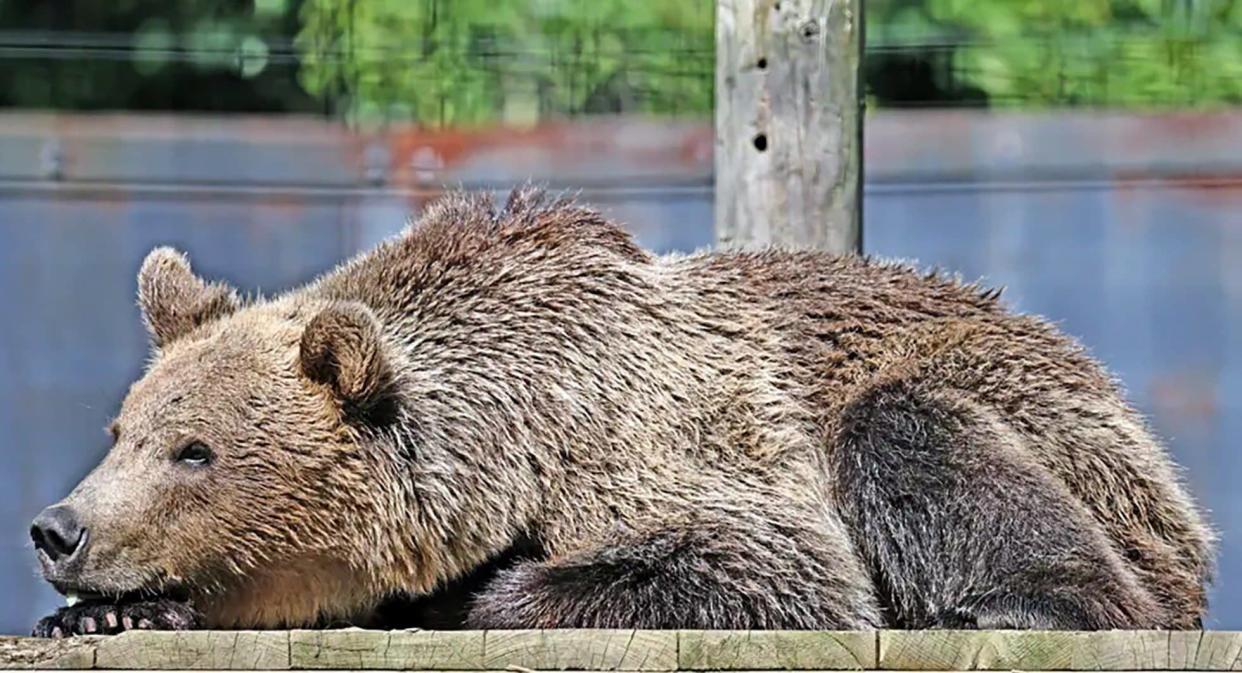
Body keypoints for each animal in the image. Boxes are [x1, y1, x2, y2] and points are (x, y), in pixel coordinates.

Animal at [29, 189, 1212, 640]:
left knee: (912, 425)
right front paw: (105, 616)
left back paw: (1000, 607)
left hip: (1069, 440)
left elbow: (767, 567)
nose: (58, 528)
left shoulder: (664, 426)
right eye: (123, 432)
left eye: (195, 451)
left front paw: (471, 596)